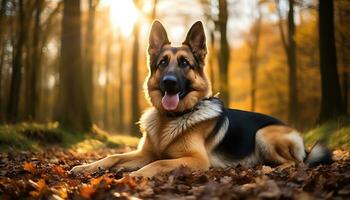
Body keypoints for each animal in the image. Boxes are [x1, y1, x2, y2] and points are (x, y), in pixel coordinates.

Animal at [70, 20, 330, 177]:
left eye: (185, 63)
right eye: (162, 63)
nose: (169, 82)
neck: (170, 119)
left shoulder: (196, 160)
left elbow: (158, 163)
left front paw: (136, 175)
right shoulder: (145, 153)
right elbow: (113, 155)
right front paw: (87, 166)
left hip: (264, 134)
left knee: (297, 162)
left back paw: (265, 169)